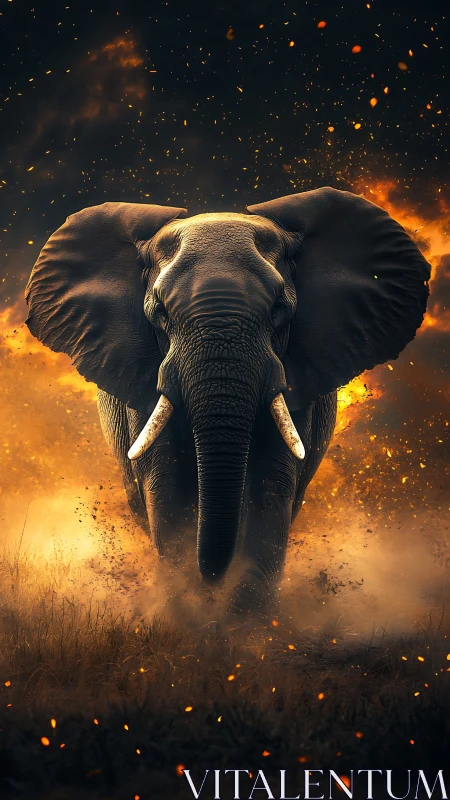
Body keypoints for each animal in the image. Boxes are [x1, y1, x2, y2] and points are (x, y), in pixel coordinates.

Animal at [25, 187, 430, 615]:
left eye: (279, 309)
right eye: (160, 313)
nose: (212, 581)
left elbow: (272, 486)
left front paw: (246, 624)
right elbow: (166, 487)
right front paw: (189, 613)